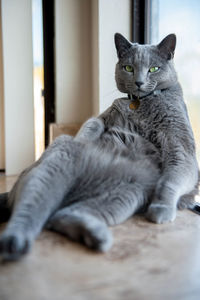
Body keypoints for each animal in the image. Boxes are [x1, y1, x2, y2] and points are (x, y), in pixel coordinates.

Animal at [0, 32, 198, 260]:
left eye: (154, 69)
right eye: (128, 68)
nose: (139, 82)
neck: (140, 104)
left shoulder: (180, 143)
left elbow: (172, 176)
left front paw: (161, 209)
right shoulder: (104, 115)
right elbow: (92, 123)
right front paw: (85, 140)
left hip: (128, 194)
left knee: (61, 215)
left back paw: (97, 237)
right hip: (55, 166)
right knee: (33, 203)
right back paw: (14, 242)